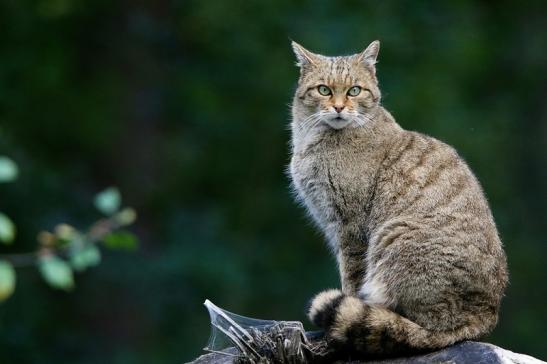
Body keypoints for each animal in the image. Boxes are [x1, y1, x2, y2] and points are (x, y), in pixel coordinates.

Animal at [288, 40, 508, 358]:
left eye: (355, 90)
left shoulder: (351, 228)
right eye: (324, 90)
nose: (339, 107)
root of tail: (485, 315)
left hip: (393, 238)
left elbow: (351, 280)